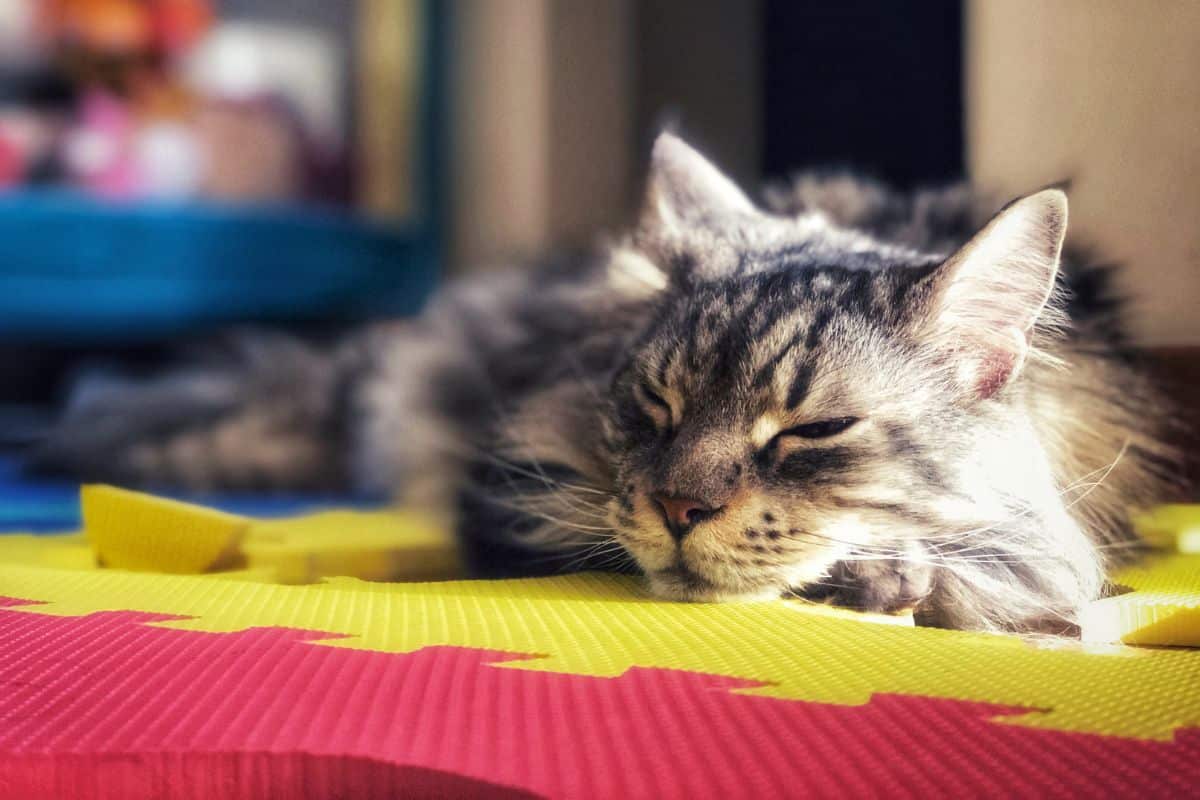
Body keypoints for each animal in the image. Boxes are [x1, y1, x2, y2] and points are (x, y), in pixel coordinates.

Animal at [32, 133, 1185, 633]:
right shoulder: (516, 482)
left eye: (808, 433)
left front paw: (893, 578)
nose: (678, 507)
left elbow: (1021, 572)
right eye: (657, 405)